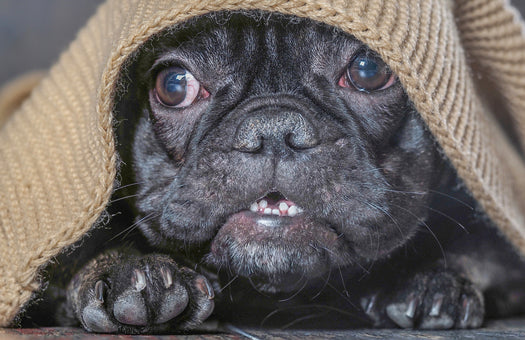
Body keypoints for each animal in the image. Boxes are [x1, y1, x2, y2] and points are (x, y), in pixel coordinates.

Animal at [24, 11, 525, 334]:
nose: (273, 129)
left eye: (368, 70)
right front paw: (130, 269)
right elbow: (78, 247)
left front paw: (432, 280)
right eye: (174, 85)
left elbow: (479, 248)